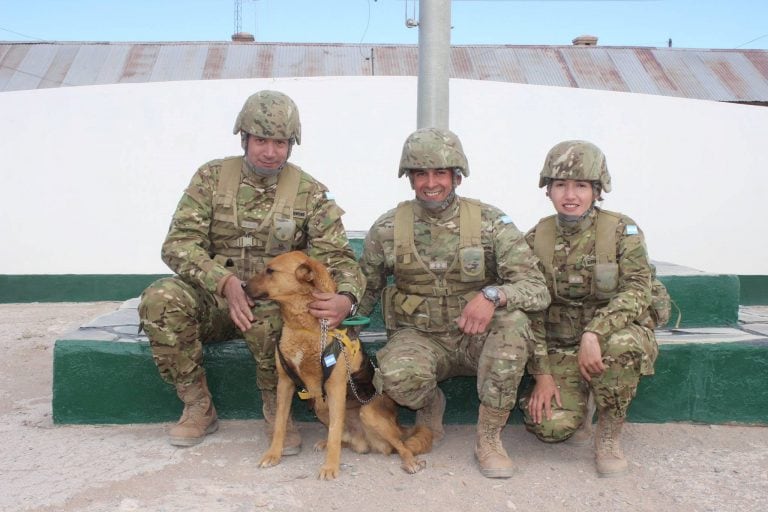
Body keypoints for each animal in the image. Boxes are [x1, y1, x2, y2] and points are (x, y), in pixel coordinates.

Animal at [248, 252, 432, 480]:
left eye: (270, 271)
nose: (242, 285)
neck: (302, 327)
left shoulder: (335, 387)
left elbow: (334, 431)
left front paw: (330, 467)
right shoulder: (285, 383)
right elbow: (280, 424)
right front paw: (273, 454)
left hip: (367, 413)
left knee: (399, 445)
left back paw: (410, 461)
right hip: (320, 406)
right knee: (347, 440)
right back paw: (327, 443)